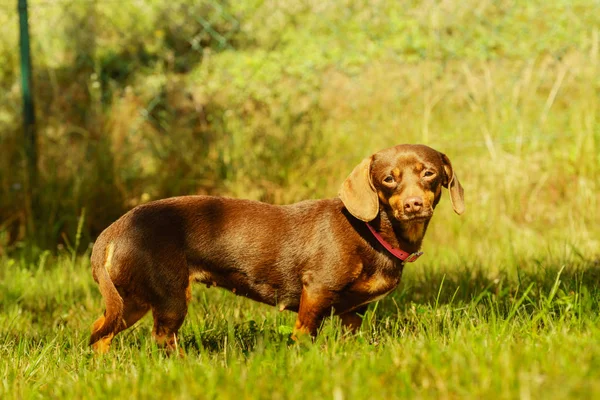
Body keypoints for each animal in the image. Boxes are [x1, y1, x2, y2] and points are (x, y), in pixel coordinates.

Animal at [89, 144, 464, 354]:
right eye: (388, 179)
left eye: (429, 174)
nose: (414, 205)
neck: (371, 231)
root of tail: (115, 228)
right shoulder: (316, 292)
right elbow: (303, 334)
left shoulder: (352, 312)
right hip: (169, 297)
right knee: (162, 339)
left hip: (132, 300)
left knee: (99, 332)